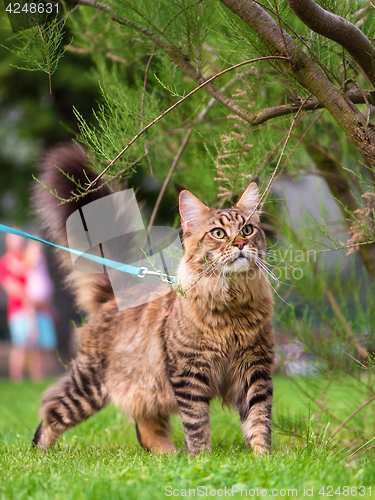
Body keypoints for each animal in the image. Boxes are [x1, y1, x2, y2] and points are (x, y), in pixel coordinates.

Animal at [31, 143, 274, 456]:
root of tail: (119, 295)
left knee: (146, 428)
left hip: (145, 387)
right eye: (218, 233)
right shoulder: (188, 373)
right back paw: (39, 454)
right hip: (89, 385)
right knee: (51, 408)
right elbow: (197, 424)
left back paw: (167, 455)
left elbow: (258, 419)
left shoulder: (254, 369)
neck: (232, 303)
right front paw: (201, 458)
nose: (241, 244)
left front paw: (262, 457)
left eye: (247, 230)